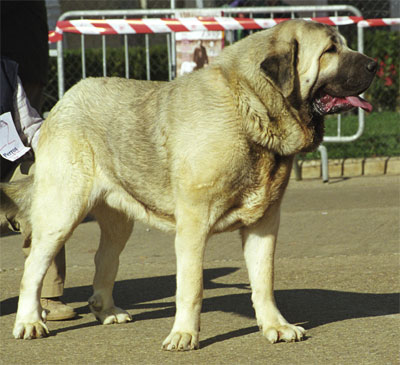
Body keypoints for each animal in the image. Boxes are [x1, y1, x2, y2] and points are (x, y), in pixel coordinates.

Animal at [6, 19, 376, 346]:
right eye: (330, 50)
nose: (375, 64)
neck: (249, 108)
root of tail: (62, 103)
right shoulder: (194, 225)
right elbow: (192, 285)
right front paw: (184, 335)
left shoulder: (264, 224)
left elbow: (263, 281)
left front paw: (275, 326)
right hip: (61, 214)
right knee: (33, 268)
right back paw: (30, 322)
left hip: (118, 220)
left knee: (104, 260)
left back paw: (107, 311)